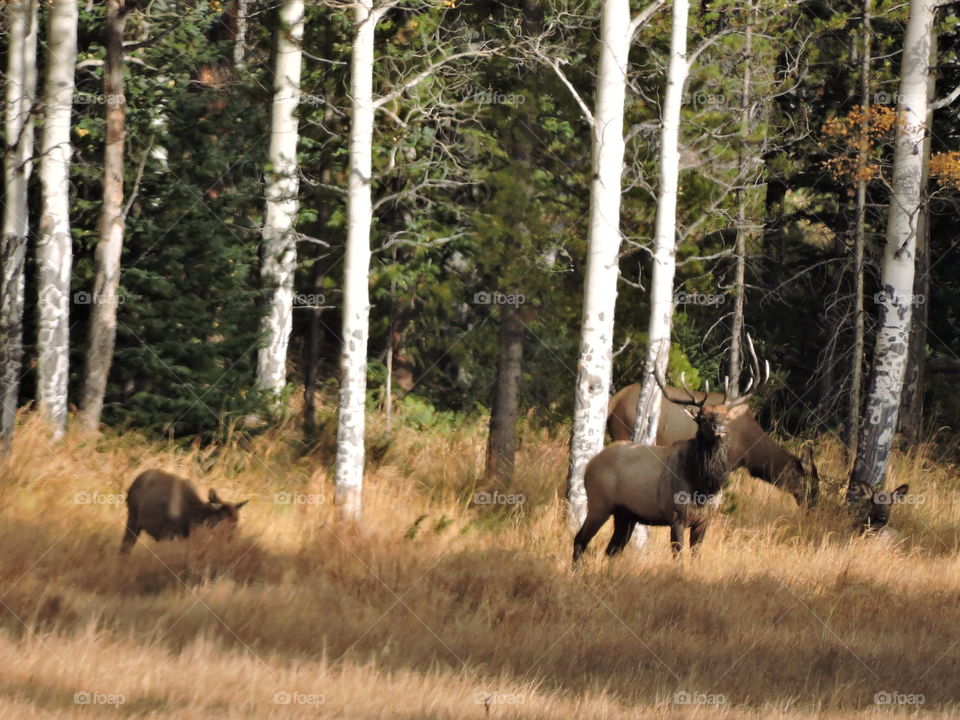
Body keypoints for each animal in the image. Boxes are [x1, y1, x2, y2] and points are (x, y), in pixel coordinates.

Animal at [120, 469, 248, 554]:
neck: (193, 516)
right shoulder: (170, 533)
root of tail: (129, 488)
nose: (229, 540)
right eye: (221, 518)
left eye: (237, 520)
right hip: (132, 518)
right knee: (125, 546)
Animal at [573, 341, 769, 567]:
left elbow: (696, 556)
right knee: (580, 539)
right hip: (599, 502)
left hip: (626, 515)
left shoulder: (704, 520)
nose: (719, 428)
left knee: (611, 549)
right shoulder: (676, 516)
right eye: (702, 418)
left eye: (726, 416)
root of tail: (589, 465)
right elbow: (678, 557)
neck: (703, 488)